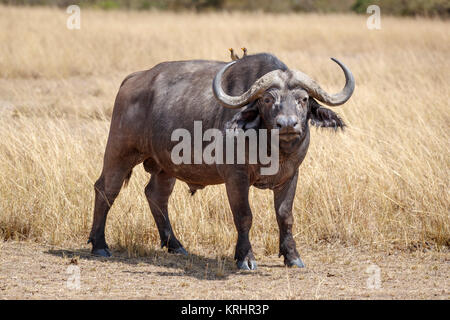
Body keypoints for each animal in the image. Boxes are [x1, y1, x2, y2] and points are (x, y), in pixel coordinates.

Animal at [89, 53, 356, 270]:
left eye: (303, 99)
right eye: (267, 99)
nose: (288, 124)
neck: (273, 149)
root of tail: (133, 79)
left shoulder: (291, 175)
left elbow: (285, 216)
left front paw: (292, 256)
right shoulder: (235, 177)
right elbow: (244, 216)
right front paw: (245, 258)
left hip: (165, 167)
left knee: (156, 195)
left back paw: (174, 244)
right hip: (119, 152)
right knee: (106, 190)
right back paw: (99, 245)